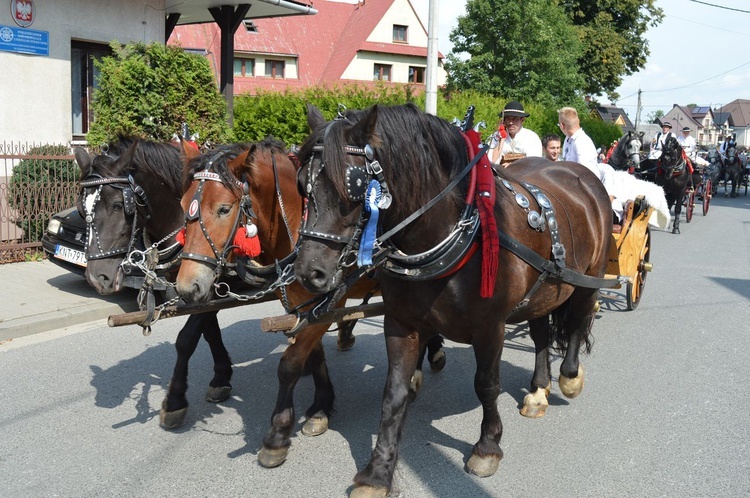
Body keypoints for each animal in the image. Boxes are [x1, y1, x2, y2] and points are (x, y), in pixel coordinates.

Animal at [175, 138, 446, 468]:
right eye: (182, 205)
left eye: (224, 209)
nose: (187, 286)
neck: (298, 228)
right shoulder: (305, 305)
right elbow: (313, 355)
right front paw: (321, 406)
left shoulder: (328, 301)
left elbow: (290, 364)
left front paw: (277, 435)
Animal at [294, 103, 616, 496]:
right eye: (301, 184)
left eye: (352, 186)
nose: (308, 273)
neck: (448, 234)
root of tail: (580, 173)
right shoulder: (401, 323)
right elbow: (393, 394)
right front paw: (377, 473)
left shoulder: (490, 327)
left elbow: (486, 385)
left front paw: (487, 446)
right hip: (544, 288)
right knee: (542, 332)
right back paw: (539, 390)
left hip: (588, 278)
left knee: (577, 322)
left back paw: (568, 377)